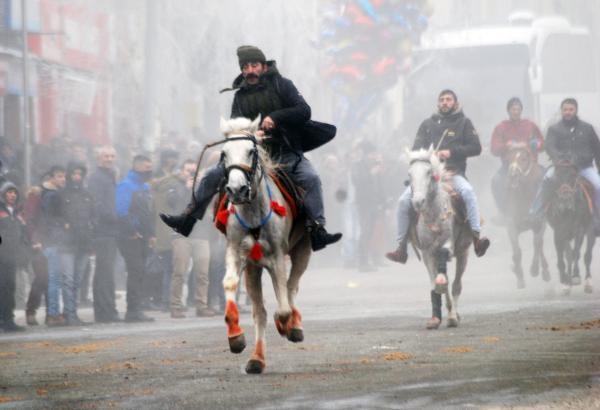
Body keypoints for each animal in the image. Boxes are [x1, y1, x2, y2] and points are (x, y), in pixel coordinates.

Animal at [218, 116, 312, 374]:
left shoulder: (277, 256)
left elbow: (283, 304)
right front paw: (235, 337)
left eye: (251, 151)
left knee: (291, 286)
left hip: (303, 249)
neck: (253, 213)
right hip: (253, 268)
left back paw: (294, 326)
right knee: (259, 312)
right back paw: (256, 359)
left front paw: (285, 324)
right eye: (224, 153)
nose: (236, 190)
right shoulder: (237, 252)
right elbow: (230, 283)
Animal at [408, 147, 474, 330]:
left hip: (464, 252)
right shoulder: (427, 252)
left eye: (428, 172)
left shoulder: (448, 244)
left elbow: (445, 269)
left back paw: (453, 316)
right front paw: (434, 319)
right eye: (410, 174)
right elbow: (434, 286)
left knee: (457, 285)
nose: (418, 201)